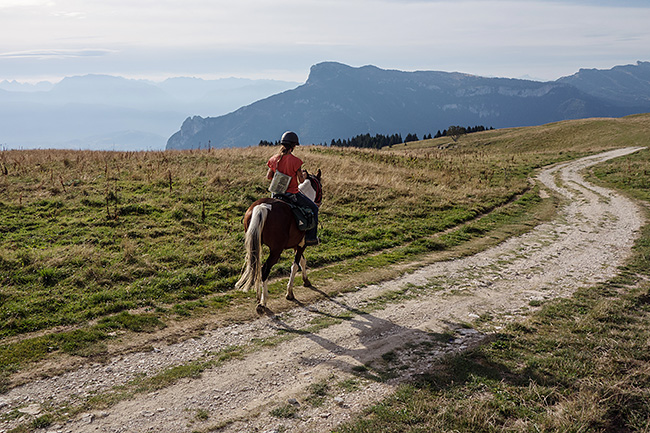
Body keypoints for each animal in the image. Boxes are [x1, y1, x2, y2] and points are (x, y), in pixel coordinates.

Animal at [235, 169, 322, 314]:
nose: (319, 203)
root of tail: (262, 207)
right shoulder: (301, 245)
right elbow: (295, 266)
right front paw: (289, 293)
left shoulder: (296, 245)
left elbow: (302, 261)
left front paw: (306, 280)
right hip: (276, 250)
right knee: (265, 269)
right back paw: (263, 302)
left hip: (255, 245)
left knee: (256, 266)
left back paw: (258, 296)